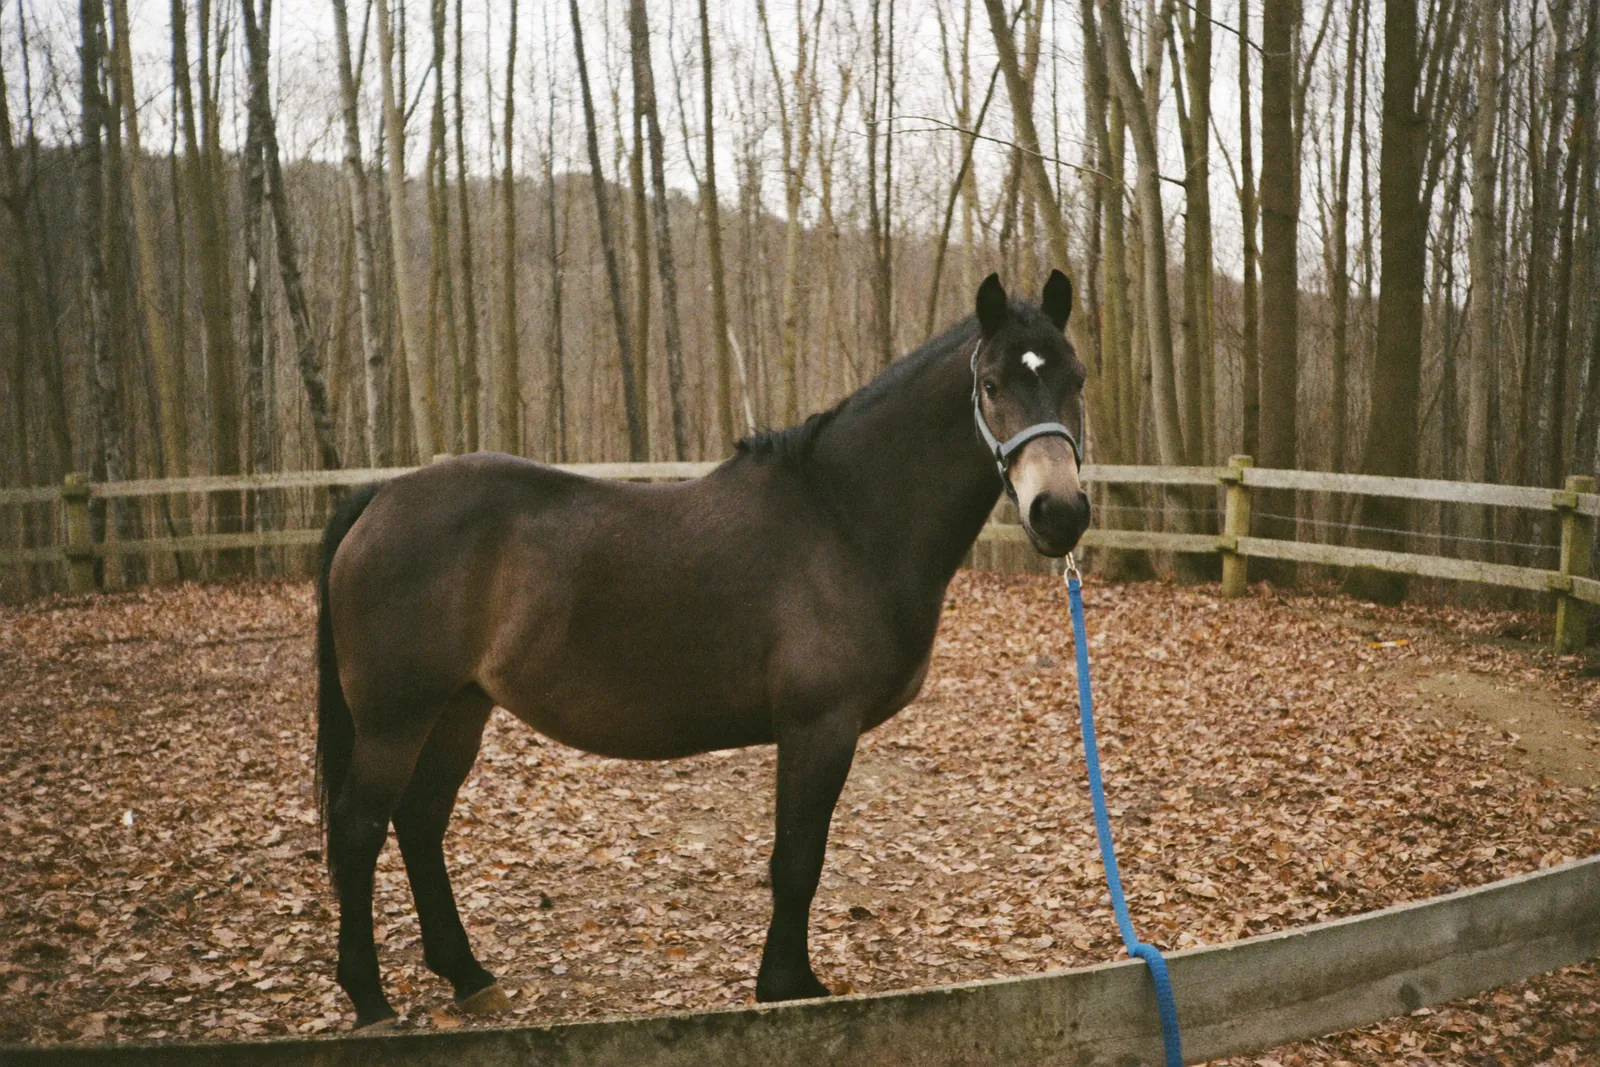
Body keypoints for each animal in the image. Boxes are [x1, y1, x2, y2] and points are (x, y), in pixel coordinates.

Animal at [315, 271, 1091, 1028]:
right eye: (991, 383)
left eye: (1076, 378)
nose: (1059, 512)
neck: (844, 520)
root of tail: (381, 498)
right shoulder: (818, 726)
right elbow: (797, 859)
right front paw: (787, 987)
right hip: (395, 719)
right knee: (359, 829)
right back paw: (370, 1000)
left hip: (458, 708)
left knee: (420, 821)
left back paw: (469, 977)